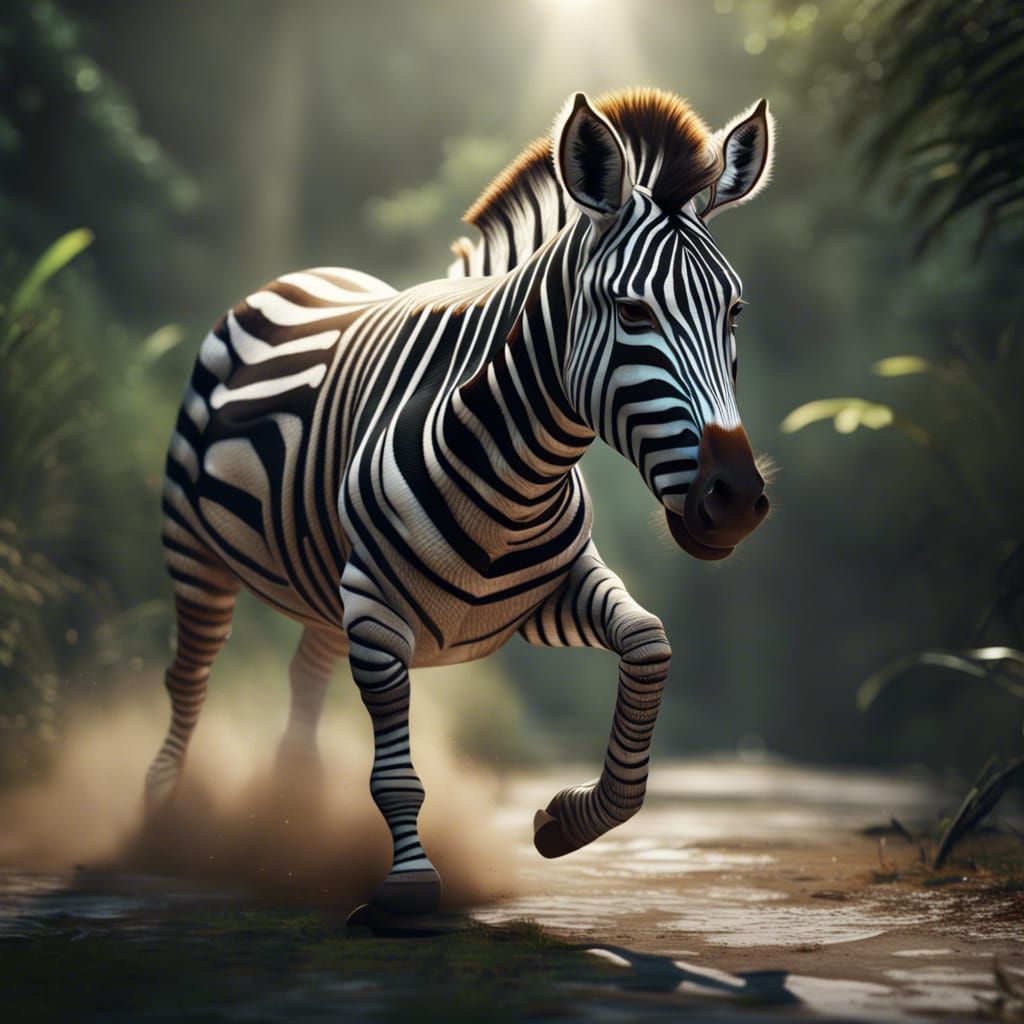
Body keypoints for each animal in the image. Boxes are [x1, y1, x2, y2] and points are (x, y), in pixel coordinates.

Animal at [147, 88, 775, 916]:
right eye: (633, 313)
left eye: (734, 311)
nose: (734, 499)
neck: (517, 470)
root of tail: (305, 274)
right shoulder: (378, 613)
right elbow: (395, 772)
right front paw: (411, 887)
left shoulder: (540, 600)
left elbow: (649, 645)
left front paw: (567, 820)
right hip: (194, 549)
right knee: (188, 675)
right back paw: (160, 817)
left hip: (325, 583)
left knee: (305, 676)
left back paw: (292, 813)